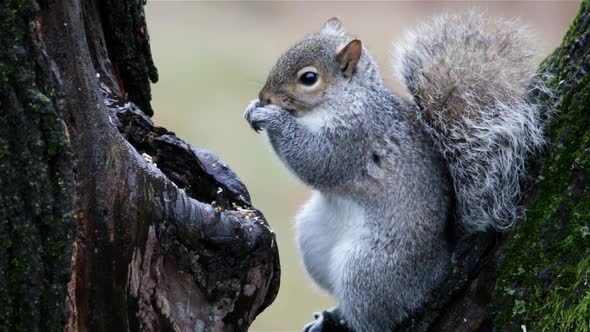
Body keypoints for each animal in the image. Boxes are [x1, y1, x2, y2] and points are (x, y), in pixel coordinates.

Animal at [245, 13, 552, 332]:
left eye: (308, 78)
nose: (264, 96)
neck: (346, 100)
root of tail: (440, 267)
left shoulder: (354, 139)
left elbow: (316, 160)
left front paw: (272, 117)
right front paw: (253, 107)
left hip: (368, 270)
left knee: (375, 320)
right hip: (313, 237)